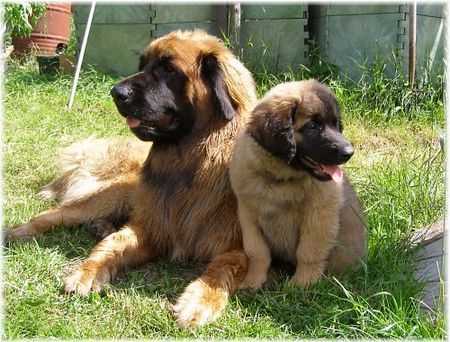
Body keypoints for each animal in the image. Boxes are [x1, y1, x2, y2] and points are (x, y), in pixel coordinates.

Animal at [6, 30, 256, 328]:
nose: (116, 93)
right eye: (143, 65)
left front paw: (199, 301)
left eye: (169, 69)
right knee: (53, 214)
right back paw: (20, 231)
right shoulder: (151, 226)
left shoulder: (239, 246)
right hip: (109, 196)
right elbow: (113, 244)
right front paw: (87, 271)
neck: (189, 163)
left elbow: (223, 268)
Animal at [230, 80, 368, 288]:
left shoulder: (319, 215)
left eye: (335, 123)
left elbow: (309, 251)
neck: (280, 179)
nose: (349, 152)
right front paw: (252, 281)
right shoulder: (248, 215)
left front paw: (302, 284)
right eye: (312, 126)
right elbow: (257, 252)